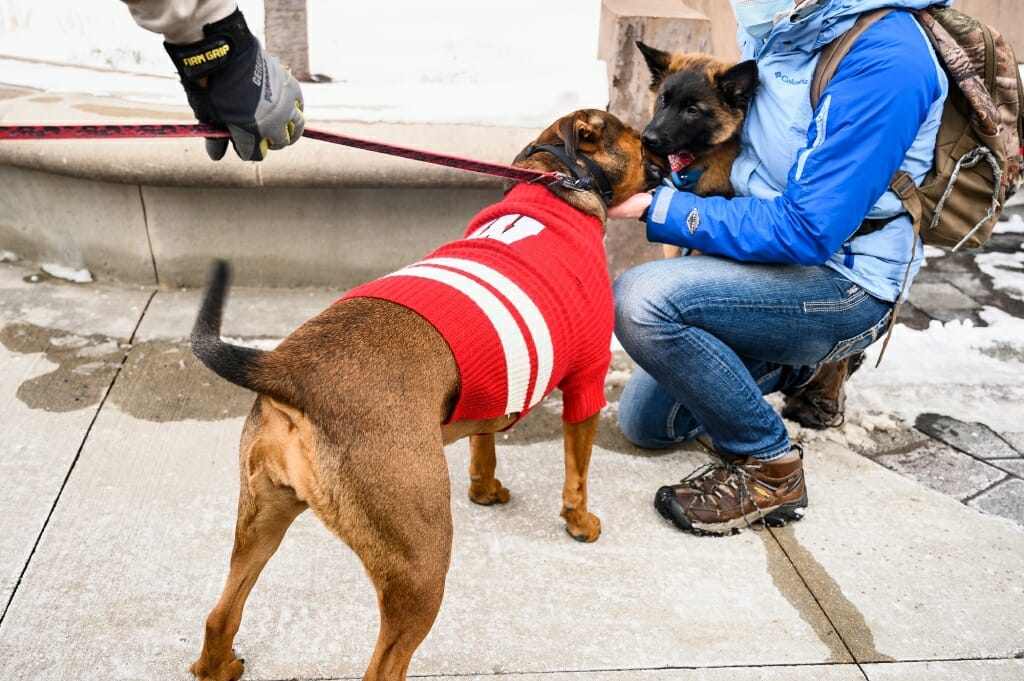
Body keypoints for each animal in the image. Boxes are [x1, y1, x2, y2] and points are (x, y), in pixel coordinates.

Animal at [184, 109, 663, 679]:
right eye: (640, 139)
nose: (663, 145)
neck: (558, 182)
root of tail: (287, 368)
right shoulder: (586, 382)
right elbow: (577, 472)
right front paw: (579, 521)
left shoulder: (496, 387)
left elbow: (484, 444)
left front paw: (486, 489)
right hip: (420, 565)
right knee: (383, 667)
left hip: (260, 520)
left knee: (220, 613)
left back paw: (218, 664)